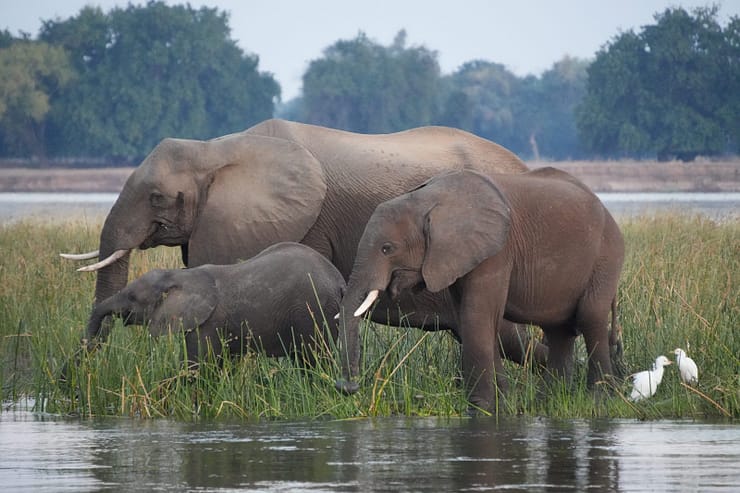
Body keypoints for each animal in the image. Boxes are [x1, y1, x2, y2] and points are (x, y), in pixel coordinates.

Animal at [85, 242, 345, 365]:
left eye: (132, 297)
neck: (180, 276)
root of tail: (340, 281)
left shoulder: (208, 323)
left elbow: (196, 366)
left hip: (313, 311)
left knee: (315, 360)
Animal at [336, 167, 625, 412]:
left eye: (387, 248)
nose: (347, 386)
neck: (425, 200)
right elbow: (473, 320)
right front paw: (502, 404)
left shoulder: (496, 252)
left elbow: (477, 317)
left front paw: (481, 409)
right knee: (559, 331)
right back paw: (549, 401)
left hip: (607, 256)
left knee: (590, 318)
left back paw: (598, 400)